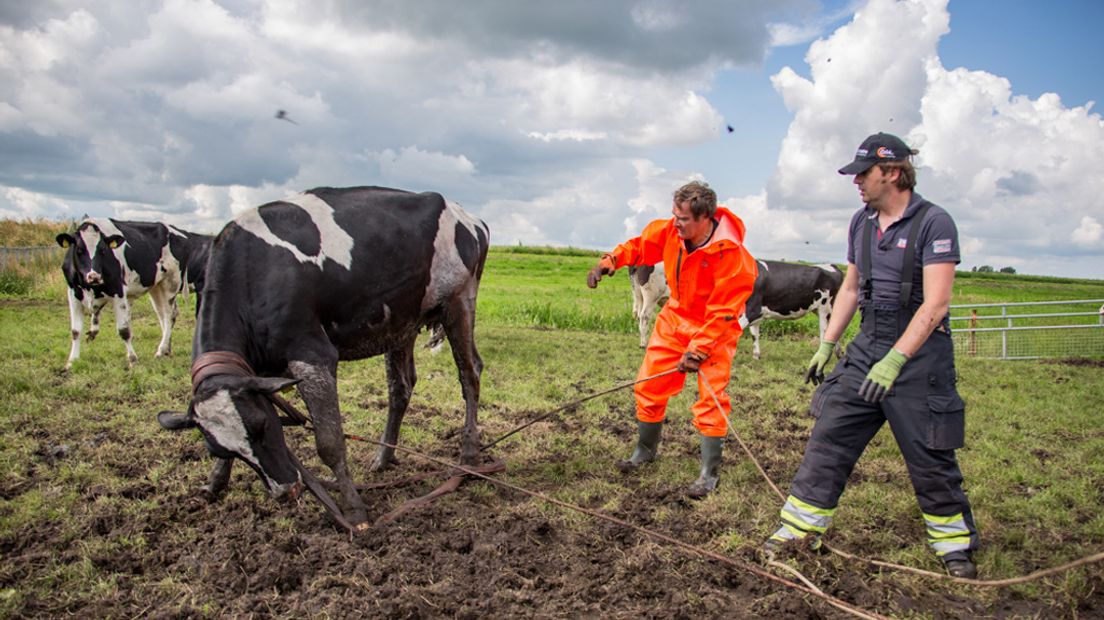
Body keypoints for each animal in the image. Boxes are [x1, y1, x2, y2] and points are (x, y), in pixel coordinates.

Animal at [56, 218, 211, 368]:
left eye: (103, 250)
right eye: (79, 250)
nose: (93, 276)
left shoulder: (118, 292)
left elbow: (124, 330)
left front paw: (133, 359)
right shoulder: (73, 294)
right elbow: (75, 331)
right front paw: (71, 361)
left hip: (170, 284)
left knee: (169, 317)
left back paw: (161, 350)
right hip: (156, 288)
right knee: (163, 316)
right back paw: (166, 349)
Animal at [153, 184, 490, 525]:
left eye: (262, 426)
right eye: (218, 450)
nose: (284, 491)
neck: (253, 273)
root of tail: (469, 218)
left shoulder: (313, 357)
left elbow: (330, 442)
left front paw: (353, 509)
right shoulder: (253, 371)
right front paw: (215, 482)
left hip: (458, 303)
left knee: (470, 374)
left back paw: (468, 457)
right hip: (401, 322)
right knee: (401, 388)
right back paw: (384, 456)